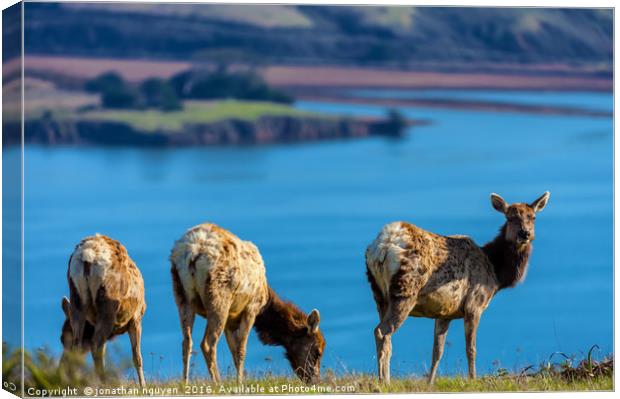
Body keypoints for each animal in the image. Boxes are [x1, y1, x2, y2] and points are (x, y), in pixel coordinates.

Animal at [61, 234, 147, 388]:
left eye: (62, 339)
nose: (60, 367)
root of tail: (87, 256)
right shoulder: (136, 318)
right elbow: (137, 357)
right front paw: (143, 387)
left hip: (77, 299)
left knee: (81, 345)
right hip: (108, 305)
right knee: (96, 343)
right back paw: (105, 384)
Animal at [168, 225, 324, 384]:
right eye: (317, 351)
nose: (315, 381)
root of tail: (194, 253)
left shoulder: (230, 320)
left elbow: (233, 351)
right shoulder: (251, 308)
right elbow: (241, 350)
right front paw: (240, 383)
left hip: (181, 294)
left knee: (187, 342)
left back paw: (185, 382)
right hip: (219, 298)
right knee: (207, 344)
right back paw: (217, 382)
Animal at [366, 192, 548, 386]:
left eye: (533, 217)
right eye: (510, 217)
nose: (525, 233)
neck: (496, 273)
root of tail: (382, 247)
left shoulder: (444, 313)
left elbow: (437, 352)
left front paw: (430, 383)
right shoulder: (474, 305)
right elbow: (471, 349)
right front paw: (473, 380)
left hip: (378, 294)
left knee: (384, 335)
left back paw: (383, 380)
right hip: (405, 291)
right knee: (382, 332)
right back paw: (384, 381)